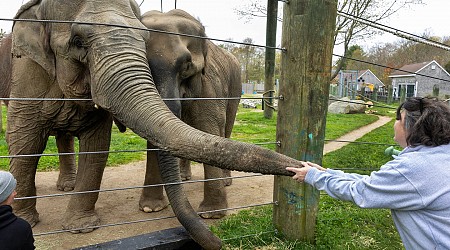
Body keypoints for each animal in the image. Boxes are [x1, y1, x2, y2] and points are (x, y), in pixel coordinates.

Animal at [7, 0, 298, 249]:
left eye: (187, 66)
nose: (220, 242)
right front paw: (150, 209)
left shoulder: (209, 84)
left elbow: (208, 129)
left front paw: (212, 215)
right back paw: (184, 177)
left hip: (235, 85)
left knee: (224, 127)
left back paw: (224, 183)